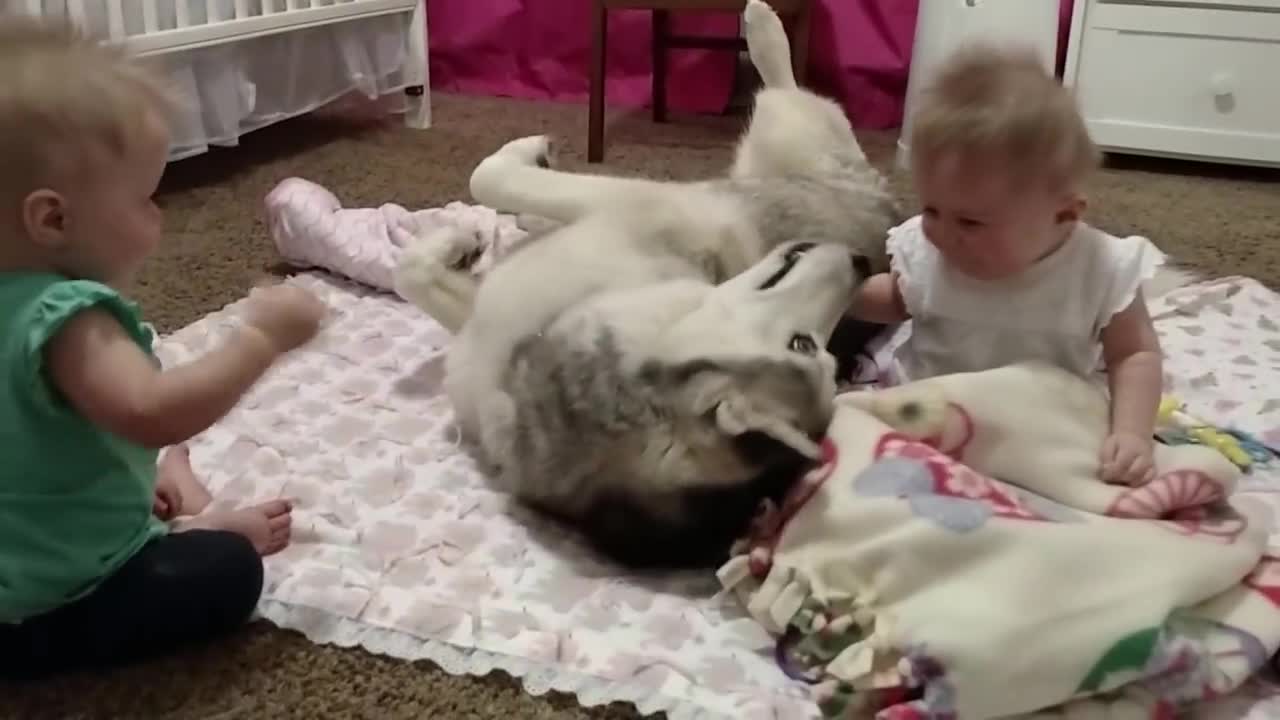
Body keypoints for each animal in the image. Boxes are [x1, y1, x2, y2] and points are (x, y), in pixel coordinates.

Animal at [391, 0, 901, 568]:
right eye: (804, 345)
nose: (861, 263)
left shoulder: (638, 203)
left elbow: (489, 178)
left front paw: (485, 209)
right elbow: (412, 272)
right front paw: (463, 243)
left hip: (786, 137)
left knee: (788, 92)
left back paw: (762, 25)